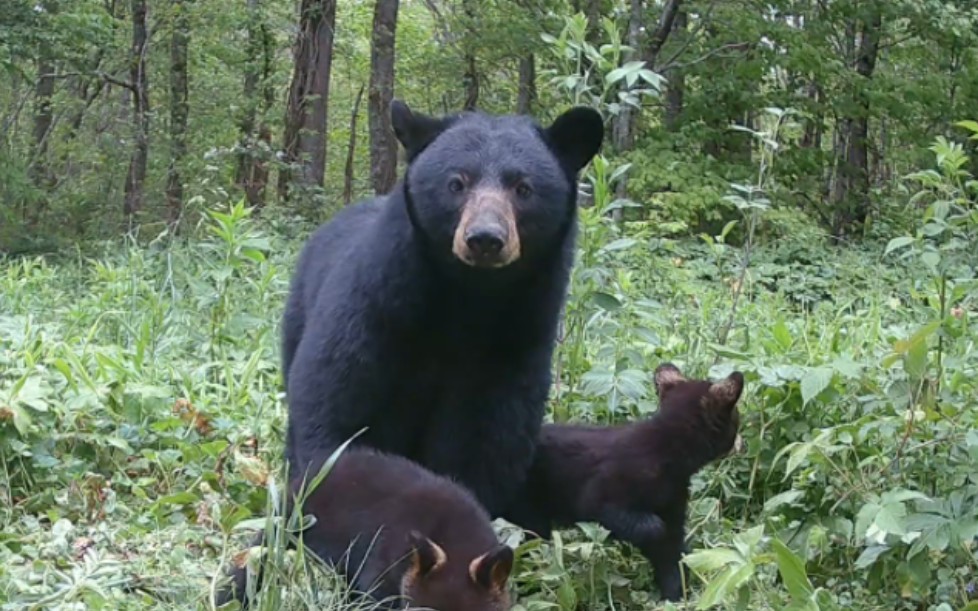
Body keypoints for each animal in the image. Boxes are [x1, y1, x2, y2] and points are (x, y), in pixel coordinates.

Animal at [278, 100, 604, 516]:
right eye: (456, 183)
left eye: (523, 187)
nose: (485, 238)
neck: (465, 296)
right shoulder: (376, 309)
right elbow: (334, 400)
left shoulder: (517, 336)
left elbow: (487, 436)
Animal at [508, 364, 744, 604]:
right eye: (737, 420)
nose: (740, 443)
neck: (669, 451)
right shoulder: (607, 487)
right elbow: (628, 517)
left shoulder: (673, 497)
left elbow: (673, 548)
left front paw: (676, 596)